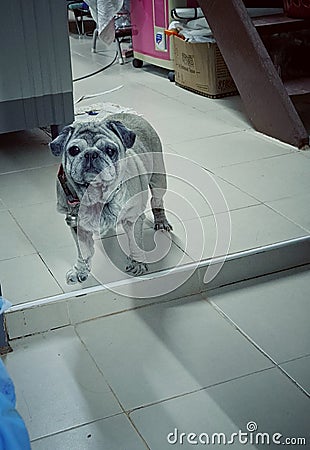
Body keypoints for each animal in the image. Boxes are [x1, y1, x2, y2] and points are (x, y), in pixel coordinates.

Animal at [50, 112, 173, 284]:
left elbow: (135, 242)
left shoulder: (132, 219)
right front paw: (80, 270)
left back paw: (161, 222)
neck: (97, 196)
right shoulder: (77, 225)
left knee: (157, 200)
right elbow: (83, 251)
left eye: (110, 150)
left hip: (159, 179)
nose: (91, 153)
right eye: (74, 150)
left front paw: (137, 263)